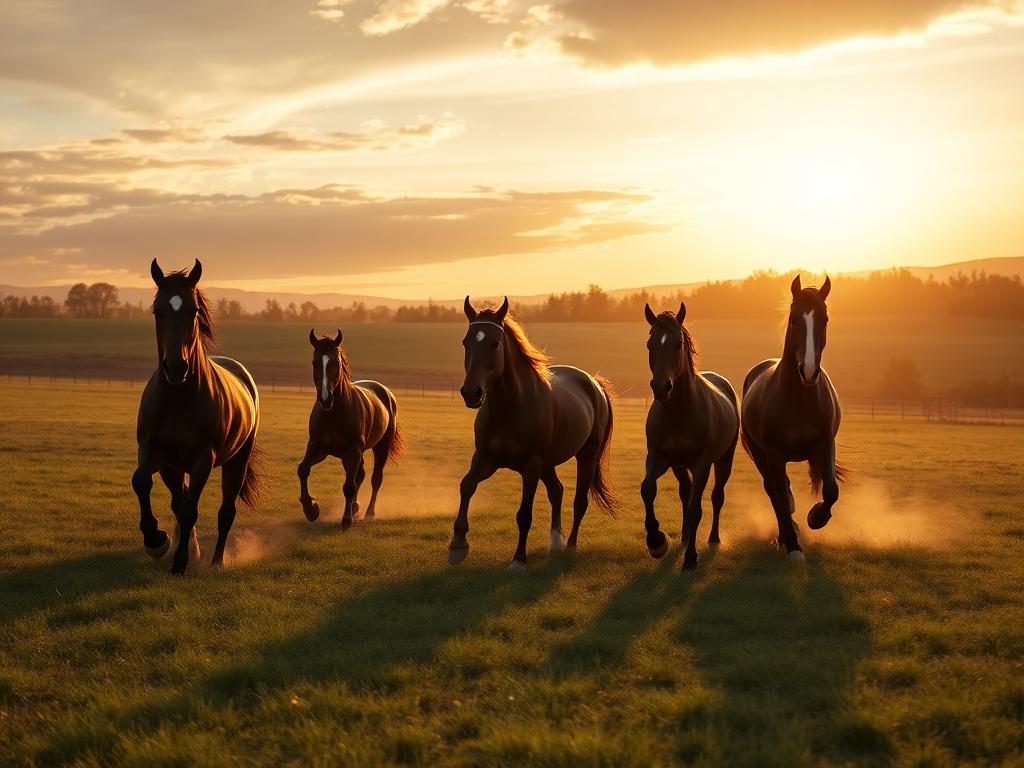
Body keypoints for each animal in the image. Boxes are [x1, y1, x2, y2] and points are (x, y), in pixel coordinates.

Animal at [131, 259, 262, 575]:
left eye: (193, 311)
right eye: (158, 310)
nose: (176, 367)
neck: (179, 398)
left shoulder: (204, 459)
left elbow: (191, 509)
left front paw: (180, 562)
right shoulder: (156, 454)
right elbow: (142, 482)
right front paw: (156, 540)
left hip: (237, 462)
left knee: (226, 512)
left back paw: (216, 560)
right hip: (176, 468)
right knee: (179, 500)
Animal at [298, 329, 404, 530]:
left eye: (336, 363)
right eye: (315, 362)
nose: (325, 399)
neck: (333, 414)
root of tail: (385, 392)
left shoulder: (353, 450)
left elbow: (349, 486)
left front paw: (346, 519)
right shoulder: (317, 447)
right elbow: (303, 470)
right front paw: (311, 509)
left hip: (380, 448)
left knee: (375, 479)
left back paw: (369, 513)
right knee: (359, 475)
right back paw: (355, 507)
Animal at [448, 296, 617, 570]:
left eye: (495, 343)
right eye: (466, 342)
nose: (472, 393)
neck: (510, 408)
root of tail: (594, 383)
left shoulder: (530, 467)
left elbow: (524, 514)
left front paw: (519, 560)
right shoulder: (485, 459)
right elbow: (466, 486)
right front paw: (457, 545)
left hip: (586, 457)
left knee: (579, 501)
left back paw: (570, 546)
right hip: (548, 464)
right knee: (557, 490)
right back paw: (556, 541)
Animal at [640, 302, 739, 570]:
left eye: (678, 344)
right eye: (650, 344)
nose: (661, 387)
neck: (680, 412)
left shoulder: (703, 463)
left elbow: (697, 509)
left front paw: (691, 558)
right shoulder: (659, 456)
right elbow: (648, 489)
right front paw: (656, 541)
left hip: (724, 460)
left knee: (716, 497)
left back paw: (713, 538)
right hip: (679, 465)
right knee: (685, 492)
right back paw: (685, 537)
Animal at [740, 275, 847, 560]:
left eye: (825, 319)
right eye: (793, 319)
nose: (808, 371)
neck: (799, 398)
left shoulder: (825, 444)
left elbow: (831, 490)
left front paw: (816, 517)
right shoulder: (773, 454)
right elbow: (779, 495)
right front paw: (793, 546)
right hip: (760, 455)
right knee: (774, 492)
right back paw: (784, 537)